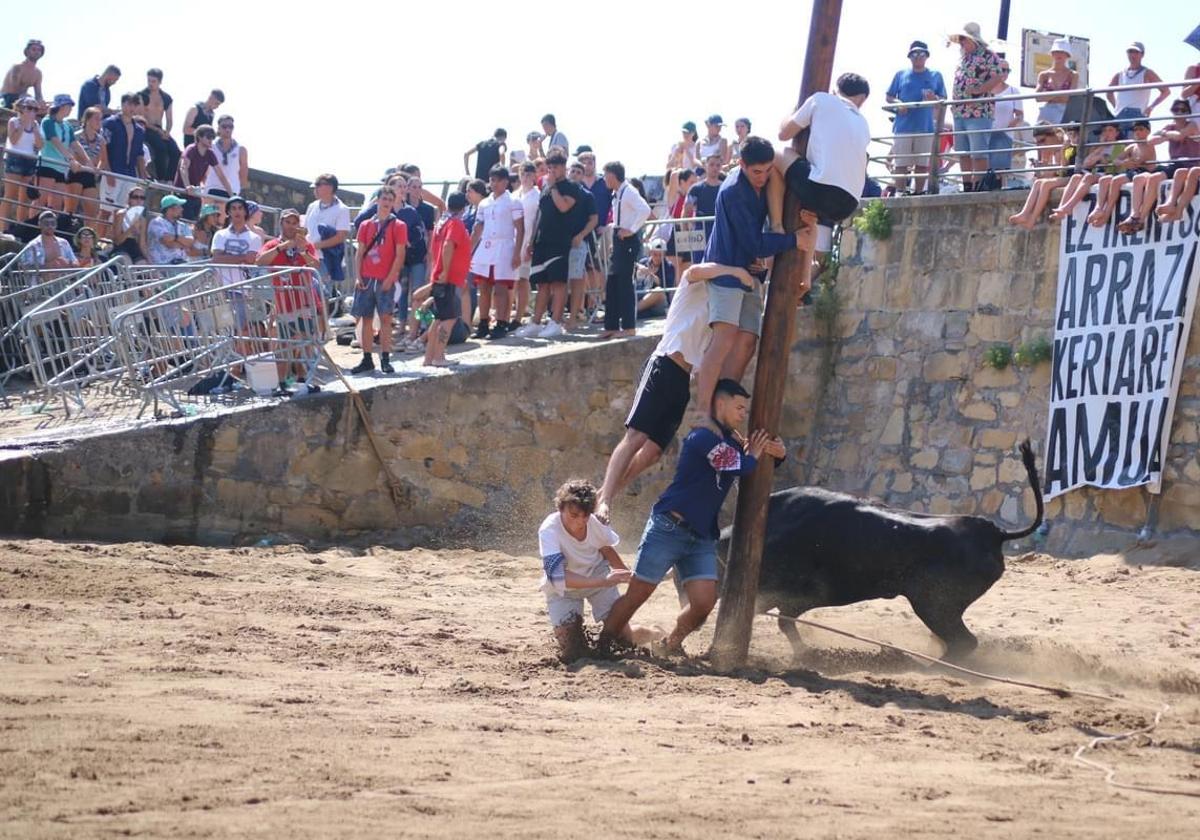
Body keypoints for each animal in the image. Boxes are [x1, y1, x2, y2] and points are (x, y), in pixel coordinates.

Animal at [715, 439, 1046, 657]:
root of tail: (995, 533)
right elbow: (786, 621)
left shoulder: (787, 591)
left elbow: (779, 617)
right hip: (940, 608)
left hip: (934, 605)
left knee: (964, 642)